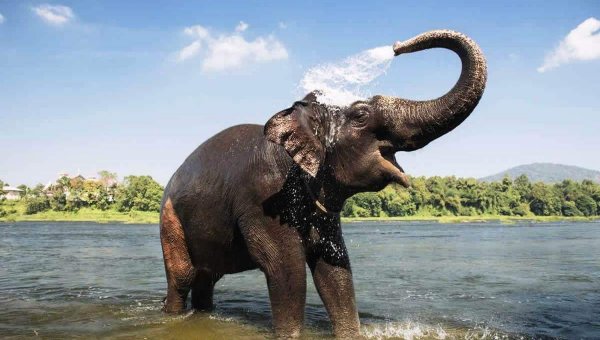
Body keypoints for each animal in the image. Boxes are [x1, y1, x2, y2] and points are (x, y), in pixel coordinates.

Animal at [161, 29, 488, 338]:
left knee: (207, 278)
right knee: (183, 277)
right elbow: (286, 268)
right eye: (361, 115)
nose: (396, 46)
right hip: (170, 219)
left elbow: (334, 269)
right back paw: (173, 315)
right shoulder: (263, 197)